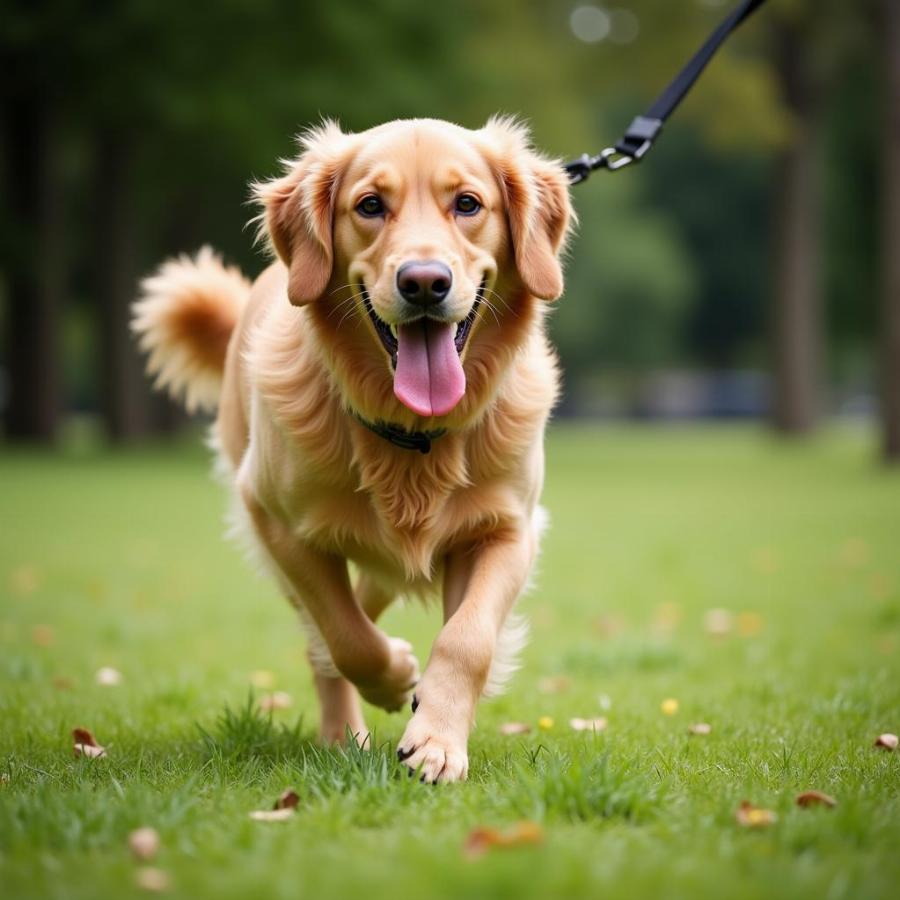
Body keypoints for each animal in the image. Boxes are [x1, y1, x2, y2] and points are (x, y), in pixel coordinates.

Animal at [130, 118, 572, 780]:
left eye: (468, 204)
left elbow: (466, 639)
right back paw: (347, 730)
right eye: (369, 206)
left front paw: (437, 739)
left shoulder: (507, 529)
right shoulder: (279, 524)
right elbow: (345, 637)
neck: (411, 431)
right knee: (327, 637)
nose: (424, 282)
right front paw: (394, 681)